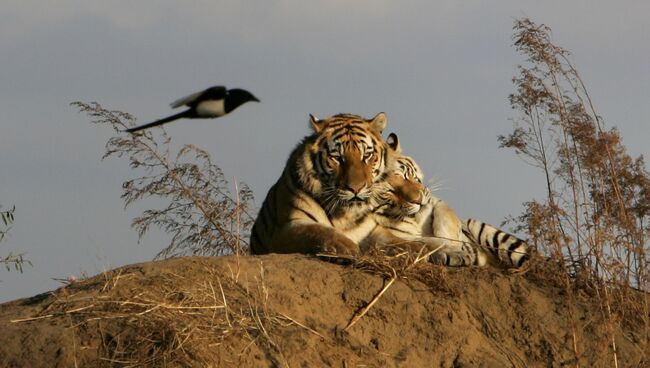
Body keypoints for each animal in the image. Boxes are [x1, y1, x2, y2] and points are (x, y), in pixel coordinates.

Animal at [247, 112, 390, 256]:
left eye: (367, 155)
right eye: (337, 158)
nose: (356, 188)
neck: (345, 215)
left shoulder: (372, 228)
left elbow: (390, 238)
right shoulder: (285, 229)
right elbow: (319, 231)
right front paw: (349, 247)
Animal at [362, 133, 528, 268]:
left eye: (406, 175)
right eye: (391, 191)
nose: (418, 201)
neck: (416, 218)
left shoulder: (435, 201)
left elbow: (445, 218)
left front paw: (456, 242)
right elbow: (421, 242)